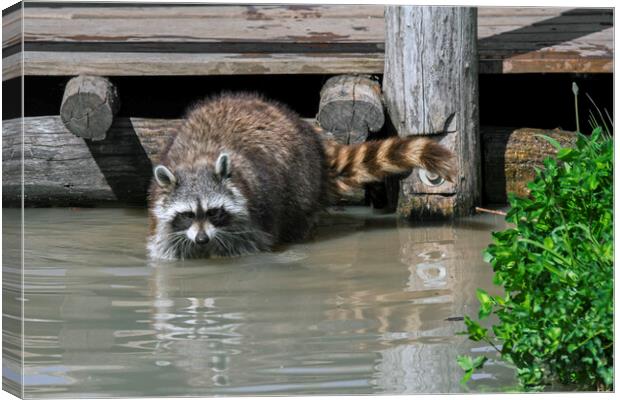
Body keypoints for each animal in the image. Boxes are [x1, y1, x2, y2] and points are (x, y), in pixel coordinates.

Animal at [147, 94, 452, 262]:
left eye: (214, 212)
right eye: (187, 214)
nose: (201, 240)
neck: (198, 160)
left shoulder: (253, 217)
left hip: (301, 183)